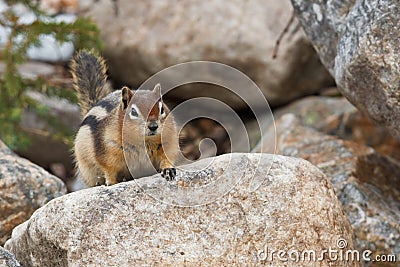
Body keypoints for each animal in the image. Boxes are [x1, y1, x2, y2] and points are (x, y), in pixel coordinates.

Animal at [71, 51, 179, 187]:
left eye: (161, 109)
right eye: (133, 111)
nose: (153, 126)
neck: (145, 141)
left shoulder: (169, 142)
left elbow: (167, 157)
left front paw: (168, 169)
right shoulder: (108, 152)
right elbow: (109, 170)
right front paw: (111, 183)